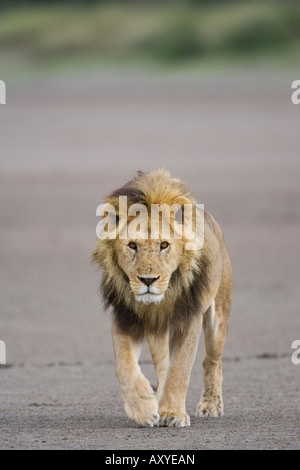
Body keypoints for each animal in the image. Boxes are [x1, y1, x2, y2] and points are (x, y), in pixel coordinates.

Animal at [92, 169, 233, 426]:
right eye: (132, 245)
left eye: (164, 245)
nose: (148, 280)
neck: (157, 304)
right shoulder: (126, 317)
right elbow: (123, 365)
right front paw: (143, 407)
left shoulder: (189, 319)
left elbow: (180, 369)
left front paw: (173, 413)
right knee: (162, 364)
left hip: (218, 317)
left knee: (211, 361)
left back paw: (211, 405)